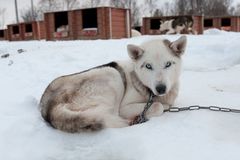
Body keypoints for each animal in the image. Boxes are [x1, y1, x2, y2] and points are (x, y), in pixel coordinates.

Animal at [40, 36, 187, 132]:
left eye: (168, 64)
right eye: (148, 66)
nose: (161, 88)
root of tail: (49, 106)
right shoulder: (125, 107)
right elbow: (158, 106)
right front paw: (158, 107)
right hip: (112, 74)